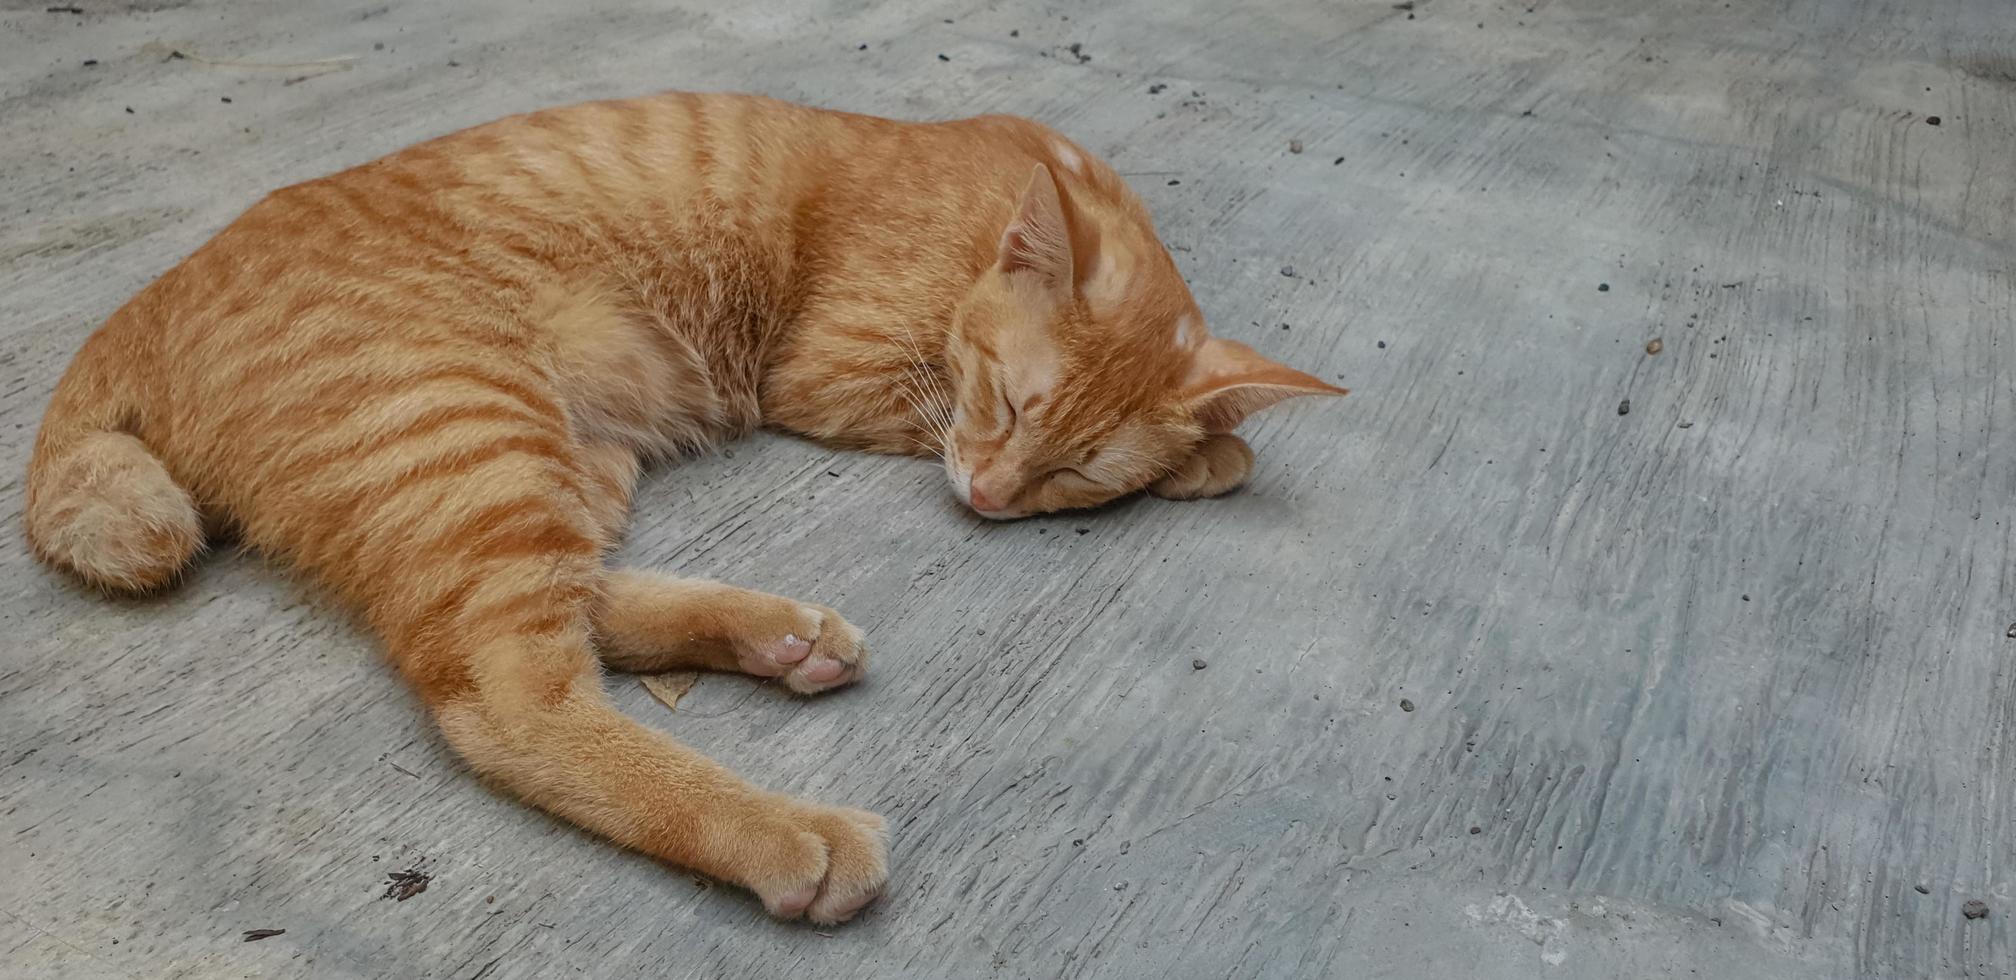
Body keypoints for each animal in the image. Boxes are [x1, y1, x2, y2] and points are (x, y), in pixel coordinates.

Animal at [23, 89, 1346, 919]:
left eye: (1072, 469)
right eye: (1009, 407)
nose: (986, 495)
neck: (999, 212)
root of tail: (137, 306)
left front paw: (1207, 444)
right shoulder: (843, 381)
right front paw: (1208, 455)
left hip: (562, 457)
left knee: (545, 609)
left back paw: (778, 636)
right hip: (473, 435)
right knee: (504, 696)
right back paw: (784, 831)